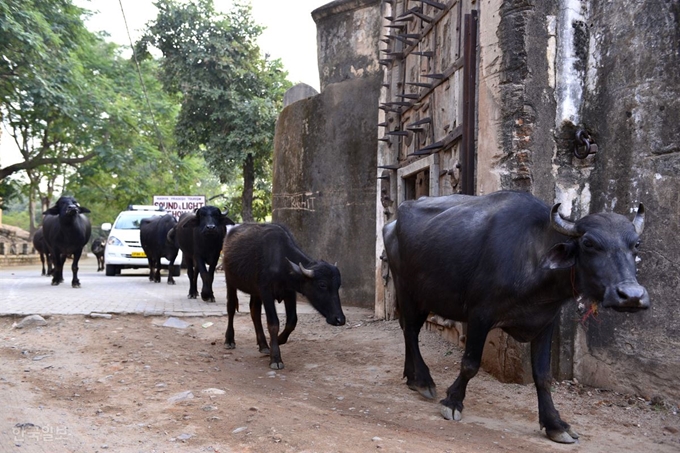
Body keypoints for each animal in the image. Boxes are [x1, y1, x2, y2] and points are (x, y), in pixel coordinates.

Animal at [223, 221, 348, 370]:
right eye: (322, 285)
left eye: (338, 285)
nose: (340, 319)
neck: (280, 264)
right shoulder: (266, 293)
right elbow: (273, 323)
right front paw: (276, 358)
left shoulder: (290, 293)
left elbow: (292, 321)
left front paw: (278, 340)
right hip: (230, 280)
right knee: (231, 308)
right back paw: (229, 340)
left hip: (255, 291)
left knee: (254, 312)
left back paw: (263, 345)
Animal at [382, 190, 648, 442]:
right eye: (589, 243)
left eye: (635, 244)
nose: (632, 296)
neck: (532, 255)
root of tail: (391, 224)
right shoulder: (479, 315)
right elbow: (470, 364)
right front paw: (453, 402)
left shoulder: (545, 322)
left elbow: (543, 375)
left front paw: (555, 424)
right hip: (406, 289)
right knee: (411, 330)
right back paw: (423, 381)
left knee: (408, 328)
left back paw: (411, 377)